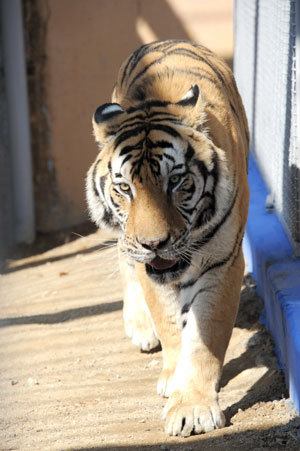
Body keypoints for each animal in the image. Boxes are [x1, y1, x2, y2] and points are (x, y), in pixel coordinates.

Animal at [85, 39, 250, 438]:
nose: (153, 244)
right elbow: (171, 325)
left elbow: (205, 339)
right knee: (125, 259)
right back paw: (141, 327)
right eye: (124, 188)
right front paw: (175, 379)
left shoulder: (224, 263)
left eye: (176, 181)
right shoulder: (151, 271)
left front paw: (193, 407)